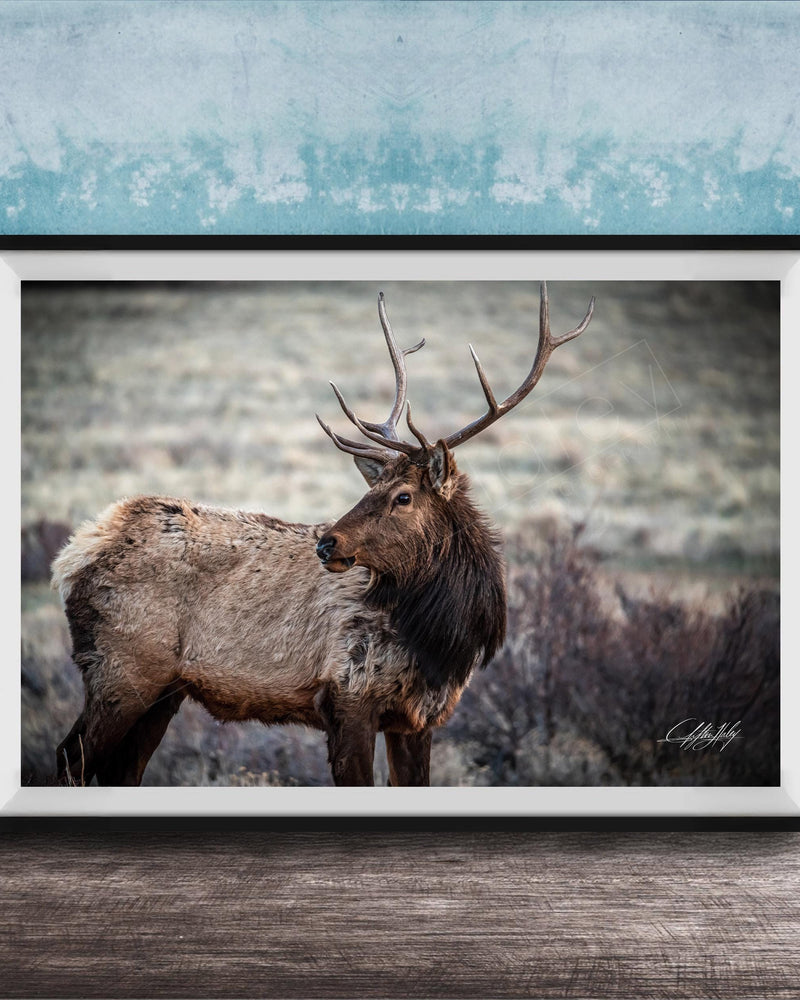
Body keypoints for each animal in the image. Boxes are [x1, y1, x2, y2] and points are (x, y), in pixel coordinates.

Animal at [52, 282, 594, 787]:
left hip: (162, 691)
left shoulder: (418, 719)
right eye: (374, 486)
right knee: (68, 758)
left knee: (120, 770)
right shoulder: (347, 696)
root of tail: (76, 553)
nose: (327, 542)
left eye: (403, 496)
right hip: (121, 669)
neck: (442, 642)